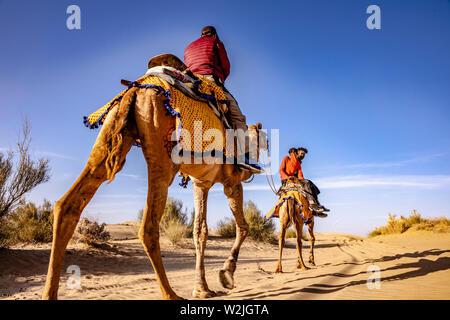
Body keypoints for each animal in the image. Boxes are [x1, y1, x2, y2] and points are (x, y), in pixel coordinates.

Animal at [42, 76, 268, 298]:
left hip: (110, 136)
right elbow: (243, 227)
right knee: (148, 227)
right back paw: (171, 294)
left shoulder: (201, 183)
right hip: (163, 157)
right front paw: (226, 274)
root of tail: (135, 90)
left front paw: (202, 289)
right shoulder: (232, 181)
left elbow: (200, 231)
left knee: (67, 205)